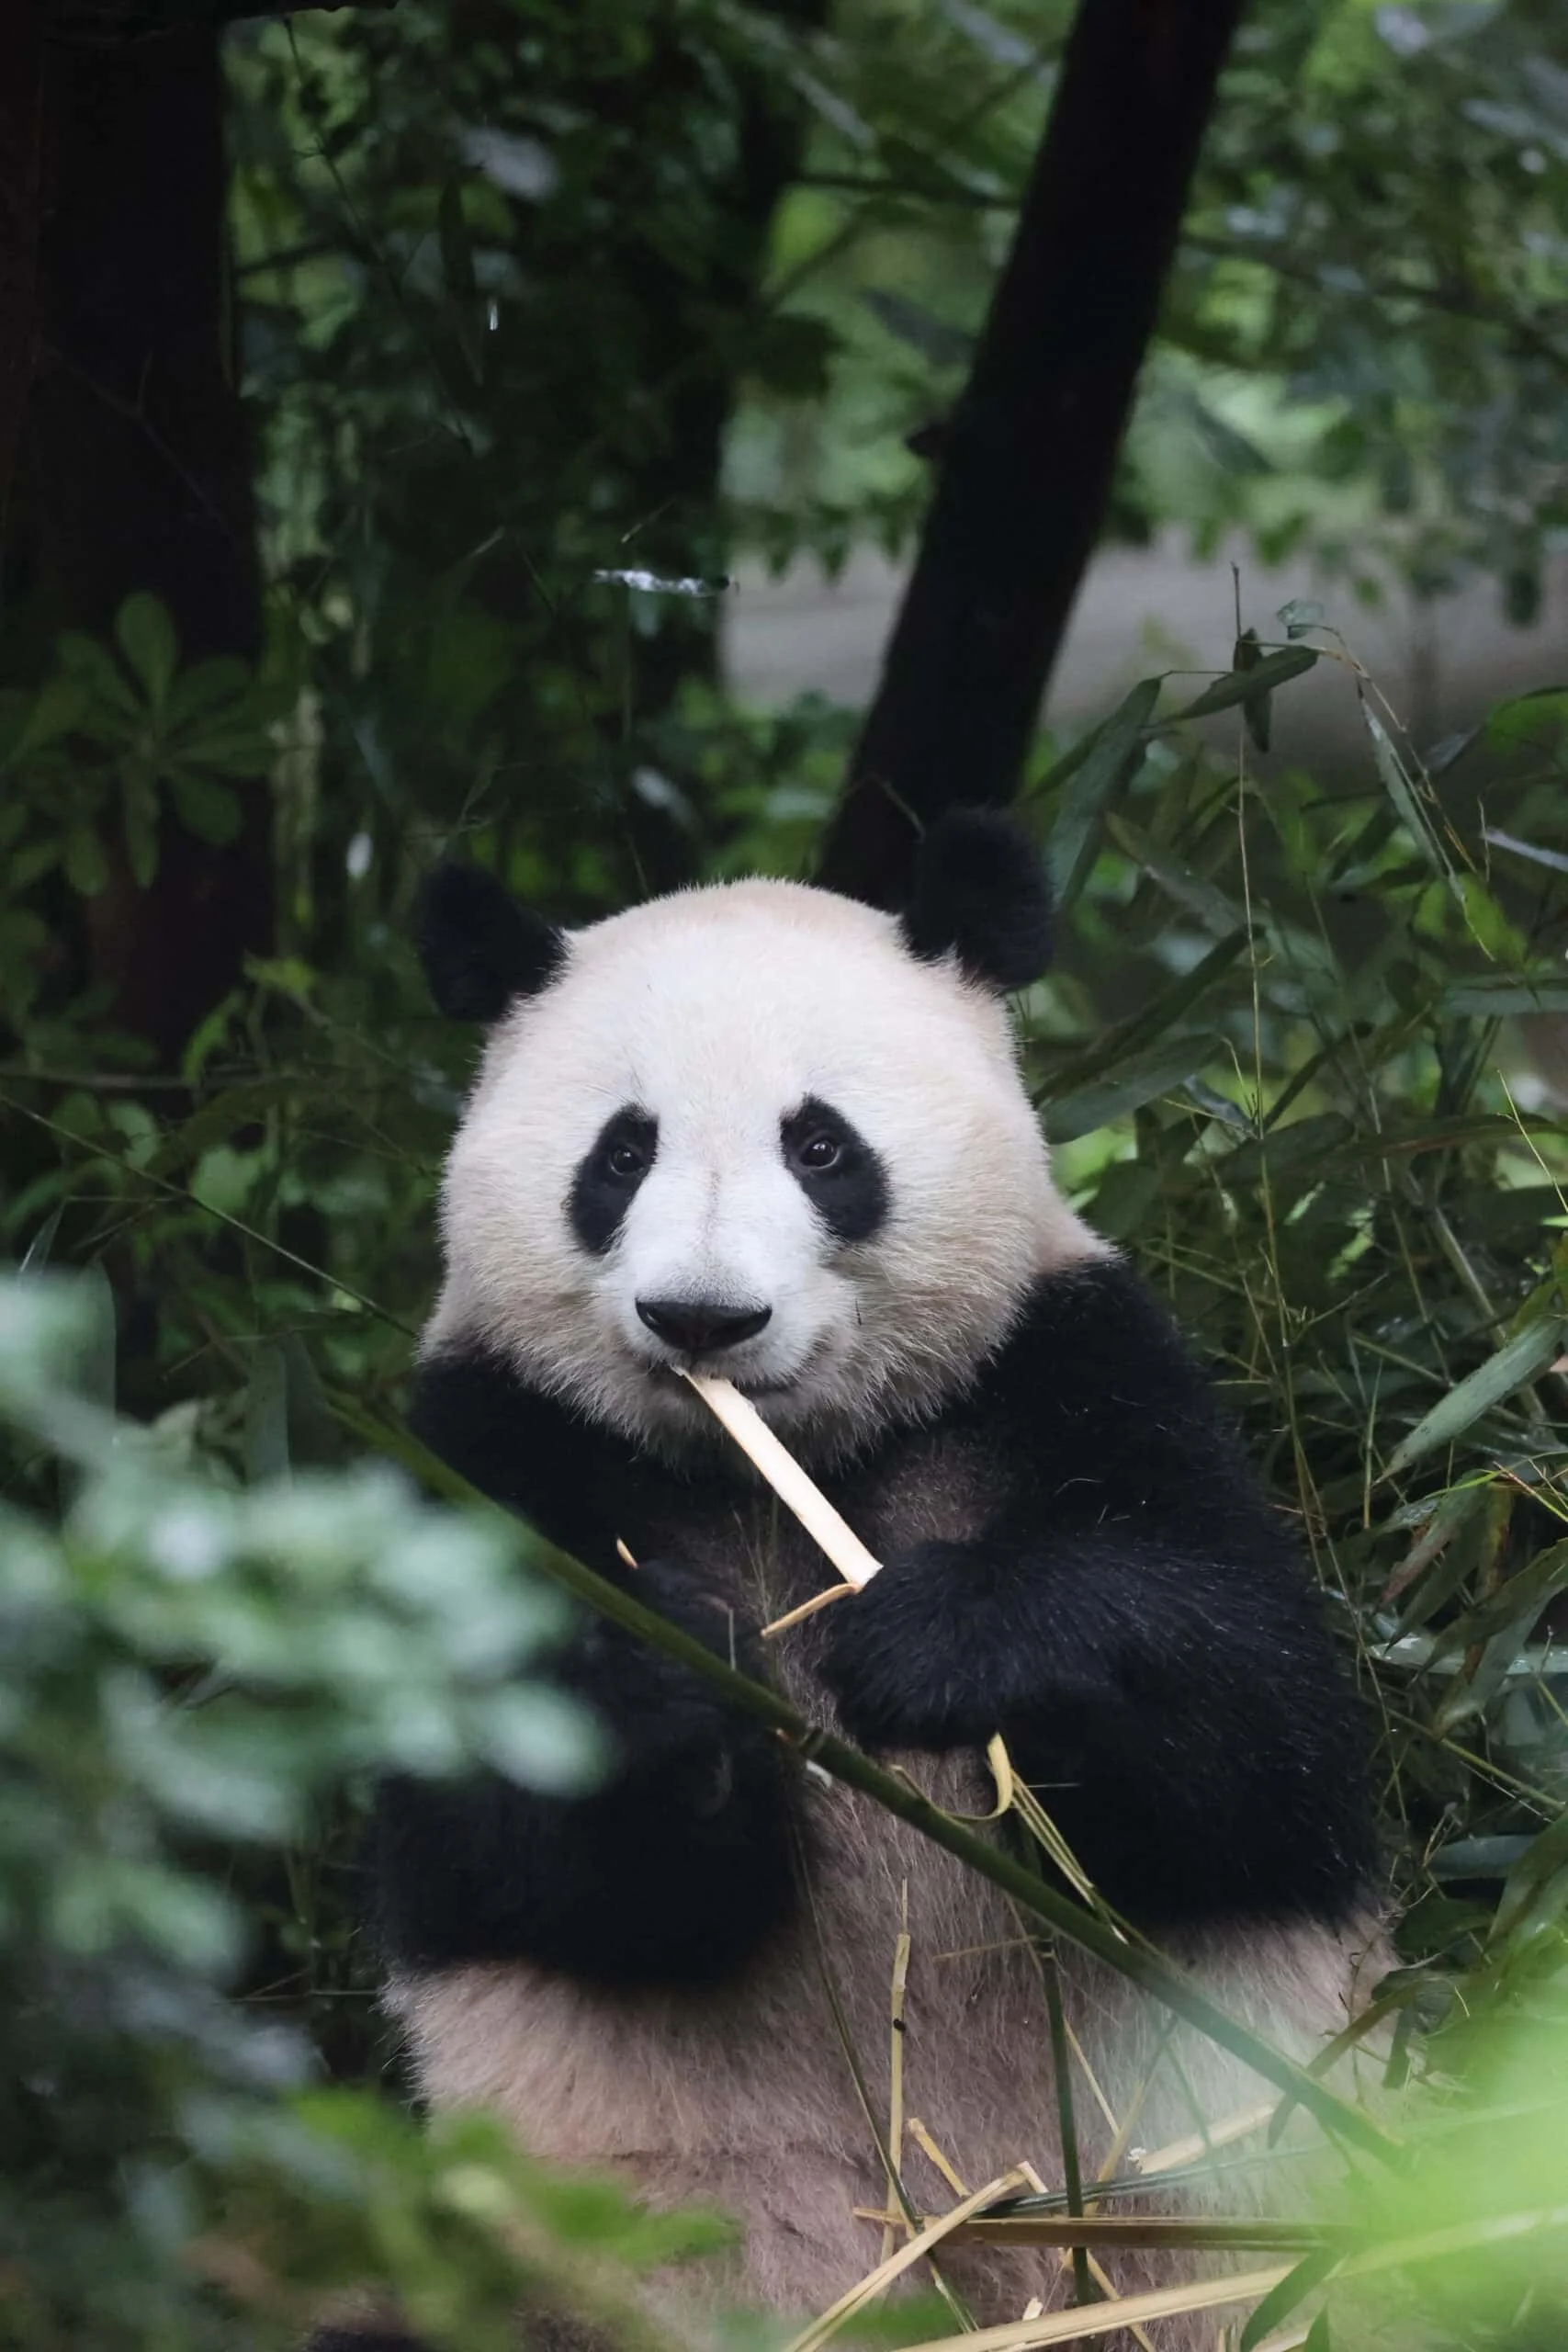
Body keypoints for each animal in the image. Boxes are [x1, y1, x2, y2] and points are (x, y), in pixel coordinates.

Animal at [339, 812, 1385, 2351]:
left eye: (820, 1144)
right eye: (620, 1154)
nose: (702, 1319)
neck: (781, 1465)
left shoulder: (1067, 1365)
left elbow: (1257, 1735)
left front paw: (941, 1644)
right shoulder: (490, 1439)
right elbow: (522, 1853)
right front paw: (669, 1677)